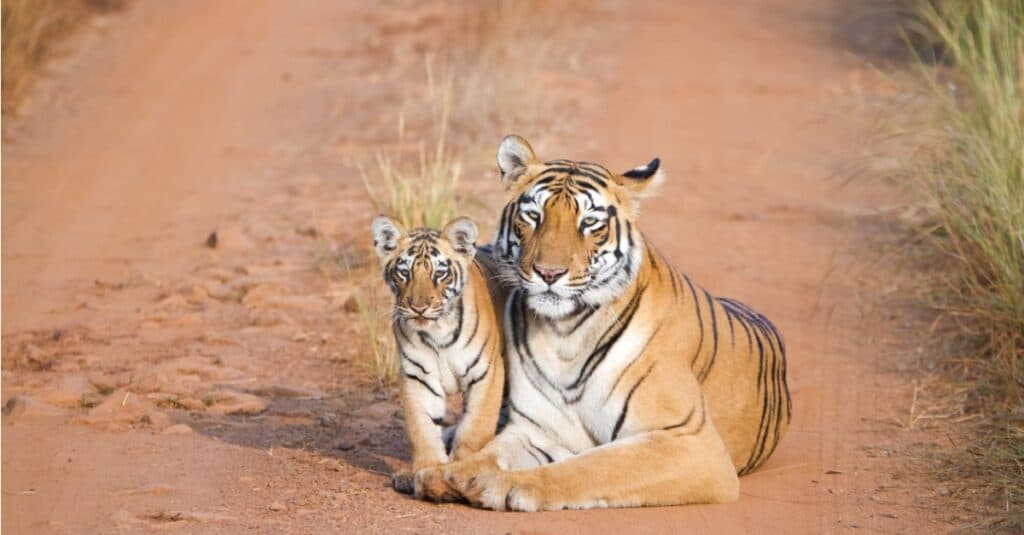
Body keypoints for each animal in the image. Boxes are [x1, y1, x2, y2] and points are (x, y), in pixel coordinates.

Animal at [415, 134, 790, 508]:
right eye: (534, 216)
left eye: (589, 223)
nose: (548, 273)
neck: (565, 333)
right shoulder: (539, 431)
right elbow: (490, 452)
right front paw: (444, 475)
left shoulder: (691, 441)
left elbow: (592, 467)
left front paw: (502, 485)